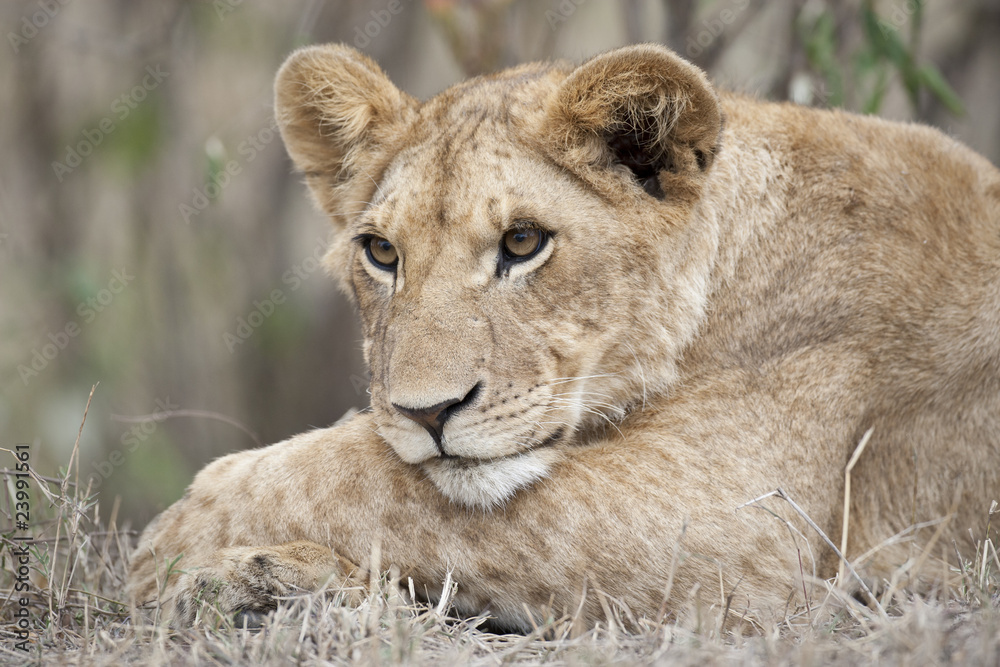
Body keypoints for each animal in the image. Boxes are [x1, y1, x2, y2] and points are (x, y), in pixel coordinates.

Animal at [126, 43, 1000, 631]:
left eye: (522, 243)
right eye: (380, 252)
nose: (427, 412)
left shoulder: (735, 526)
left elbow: (364, 478)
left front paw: (175, 539)